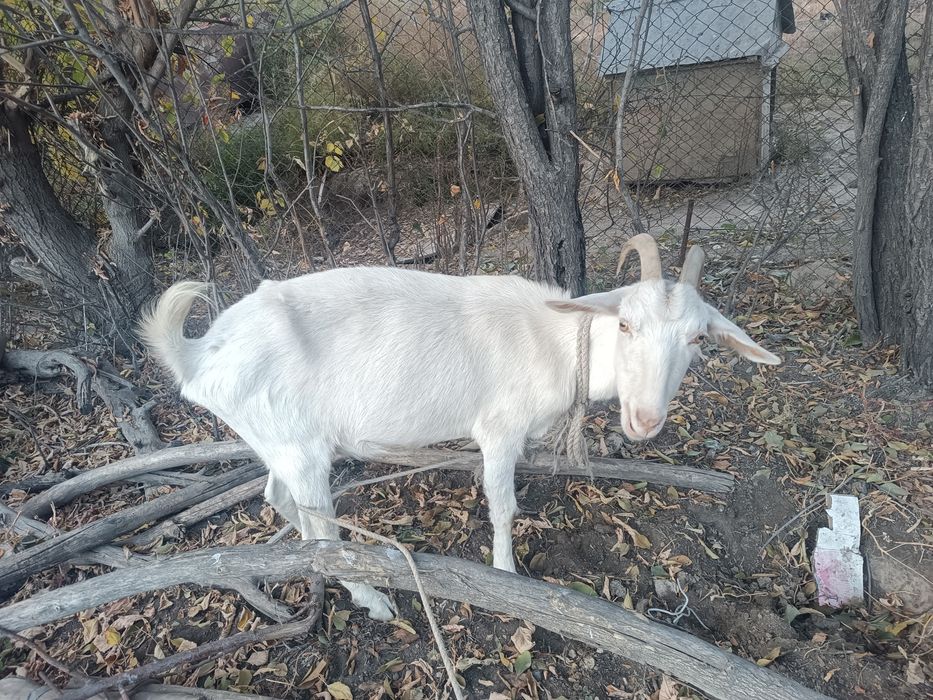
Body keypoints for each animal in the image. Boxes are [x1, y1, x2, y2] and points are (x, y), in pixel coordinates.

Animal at [139, 234, 780, 621]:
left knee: (280, 497)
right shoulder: (499, 428)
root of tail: (198, 355)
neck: (553, 341)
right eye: (625, 324)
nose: (646, 419)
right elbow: (503, 505)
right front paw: (506, 577)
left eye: (698, 338)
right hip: (298, 446)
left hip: (280, 442)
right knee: (322, 530)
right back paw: (374, 599)